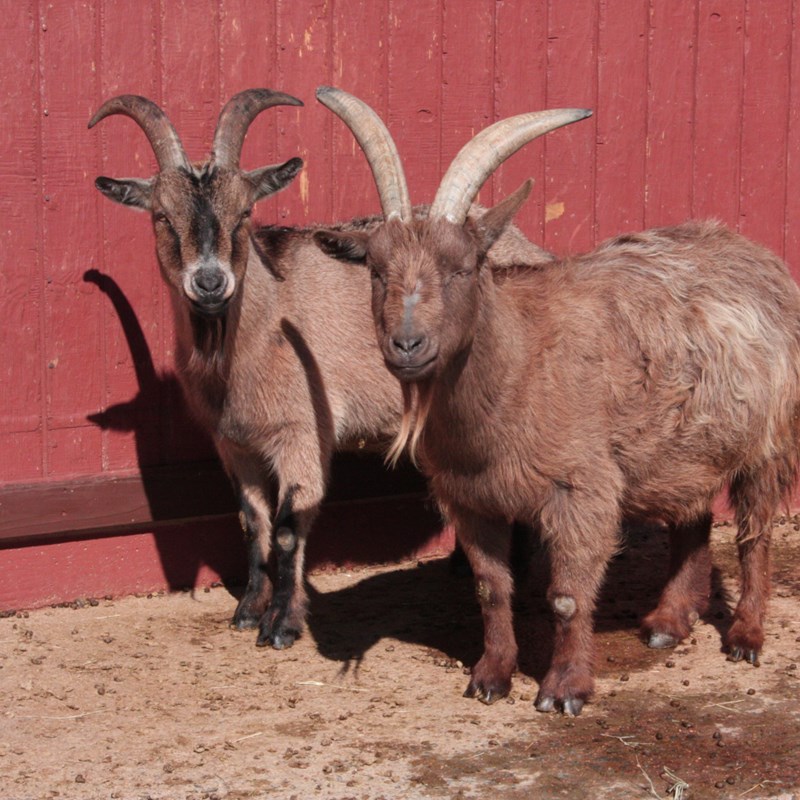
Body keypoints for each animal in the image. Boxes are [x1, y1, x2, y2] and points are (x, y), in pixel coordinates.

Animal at [89, 90, 550, 649]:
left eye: (245, 212)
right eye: (160, 215)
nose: (210, 282)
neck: (264, 323)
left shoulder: (302, 433)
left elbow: (289, 527)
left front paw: (282, 625)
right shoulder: (234, 443)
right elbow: (253, 522)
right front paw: (248, 610)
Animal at [314, 86, 800, 715]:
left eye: (463, 267)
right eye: (375, 269)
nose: (407, 344)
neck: (517, 371)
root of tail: (756, 253)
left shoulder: (581, 489)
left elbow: (567, 595)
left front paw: (564, 689)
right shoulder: (471, 498)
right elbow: (491, 589)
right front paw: (491, 677)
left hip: (767, 440)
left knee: (754, 534)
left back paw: (745, 635)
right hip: (681, 446)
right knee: (691, 517)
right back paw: (667, 622)